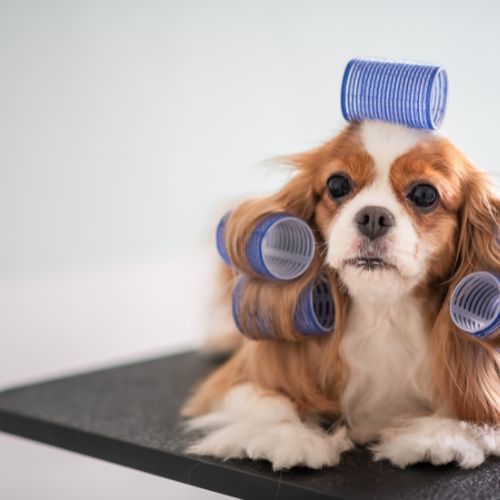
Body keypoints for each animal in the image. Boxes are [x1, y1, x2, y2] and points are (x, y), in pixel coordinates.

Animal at [184, 120, 500, 468]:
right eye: (337, 185)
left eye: (424, 194)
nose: (373, 216)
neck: (383, 313)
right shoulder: (229, 384)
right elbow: (269, 401)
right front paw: (289, 436)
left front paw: (441, 435)